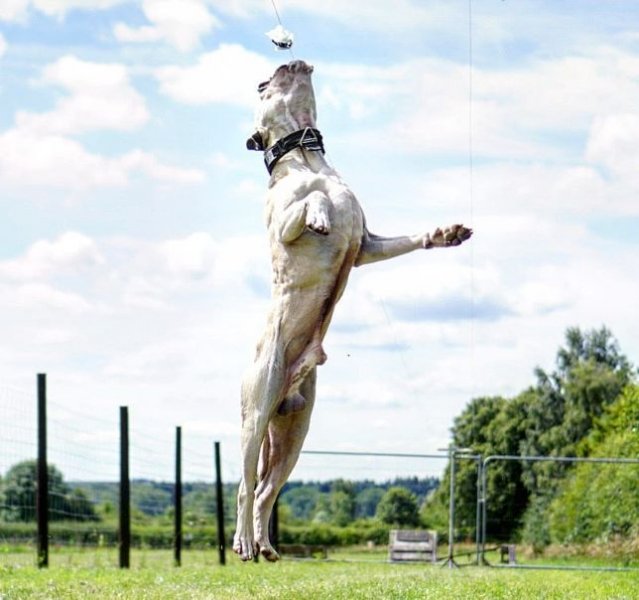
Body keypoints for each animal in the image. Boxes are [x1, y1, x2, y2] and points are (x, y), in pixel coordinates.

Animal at [234, 61, 470, 564]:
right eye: (263, 87)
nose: (284, 61)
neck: (305, 157)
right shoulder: (283, 228)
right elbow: (311, 202)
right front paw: (321, 214)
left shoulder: (367, 245)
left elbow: (402, 240)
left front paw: (444, 234)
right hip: (257, 409)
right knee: (245, 486)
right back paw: (243, 542)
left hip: (294, 432)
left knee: (265, 491)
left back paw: (265, 545)